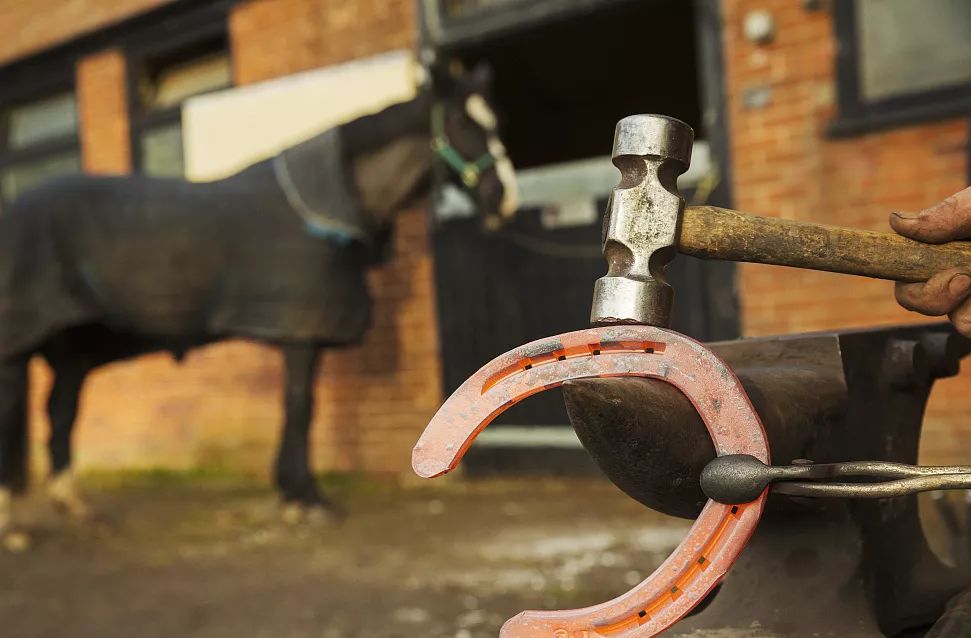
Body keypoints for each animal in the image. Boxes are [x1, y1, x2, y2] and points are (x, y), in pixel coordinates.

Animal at [0, 63, 516, 540]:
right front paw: (305, 498)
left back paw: (77, 506)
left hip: (73, 347)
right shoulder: (300, 333)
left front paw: (294, 492)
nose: (504, 198)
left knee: (61, 411)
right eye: (463, 122)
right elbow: (301, 407)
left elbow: (298, 408)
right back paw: (14, 528)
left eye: (494, 121)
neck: (322, 211)